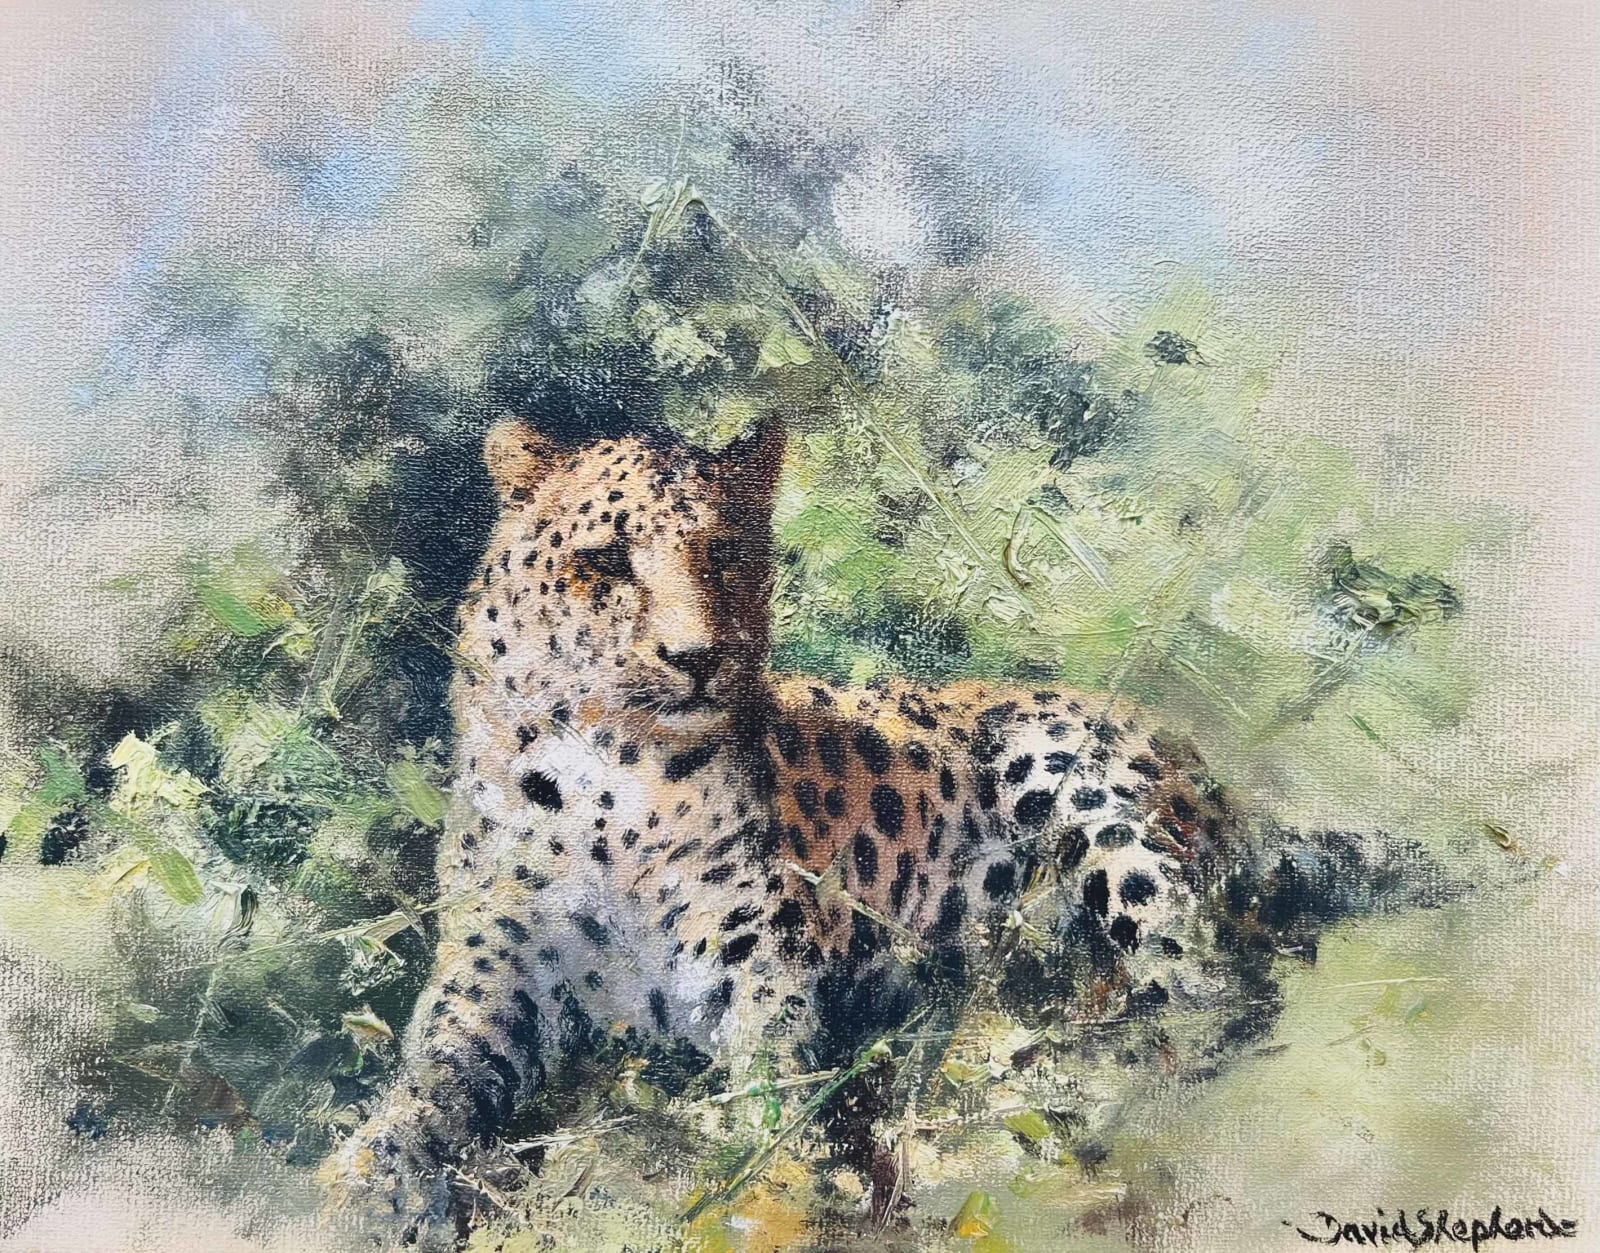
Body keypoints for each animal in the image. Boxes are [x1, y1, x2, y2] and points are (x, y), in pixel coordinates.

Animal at [324, 417, 1443, 1244]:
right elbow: (430, 1081)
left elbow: (774, 1092)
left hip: (1064, 776)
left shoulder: (757, 965)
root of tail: (1209, 774)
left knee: (1206, 966)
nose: (695, 656)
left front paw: (772, 1190)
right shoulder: (493, 971)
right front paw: (373, 1180)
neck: (618, 782)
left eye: (724, 552)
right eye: (604, 562)